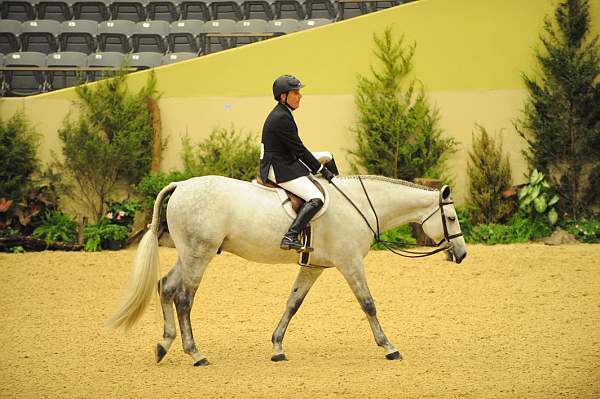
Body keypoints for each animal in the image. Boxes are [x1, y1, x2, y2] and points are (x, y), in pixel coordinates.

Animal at [109, 175, 468, 366]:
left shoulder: (315, 268)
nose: (462, 254)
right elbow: (368, 304)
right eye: (451, 218)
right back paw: (195, 353)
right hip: (199, 255)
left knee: (166, 287)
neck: (360, 206)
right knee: (184, 298)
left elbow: (292, 304)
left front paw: (277, 348)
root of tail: (181, 184)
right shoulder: (350, 262)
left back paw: (164, 344)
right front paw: (389, 347)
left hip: (188, 255)